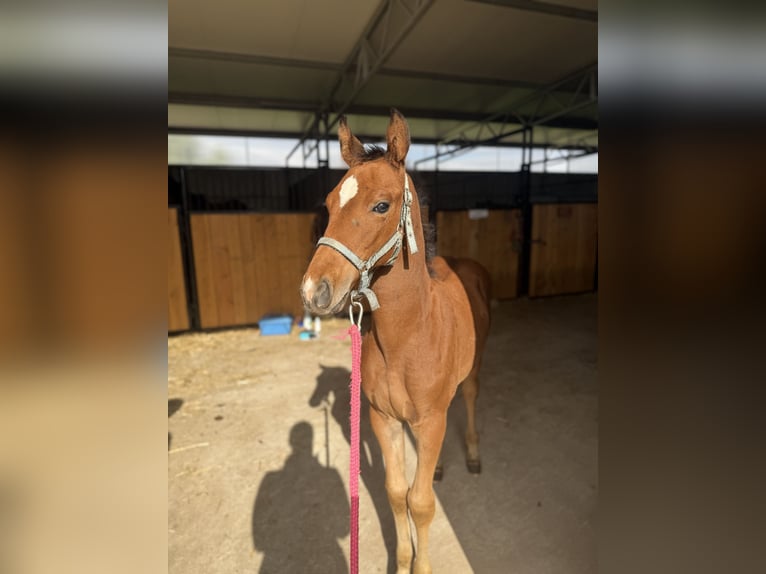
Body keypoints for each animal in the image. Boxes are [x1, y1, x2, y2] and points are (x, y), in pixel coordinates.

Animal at [301, 109, 491, 574]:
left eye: (382, 205)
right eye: (329, 204)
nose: (314, 290)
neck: (409, 337)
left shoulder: (430, 420)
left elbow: (420, 503)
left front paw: (420, 566)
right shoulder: (384, 419)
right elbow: (395, 493)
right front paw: (402, 561)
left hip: (474, 368)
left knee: (470, 399)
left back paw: (472, 456)